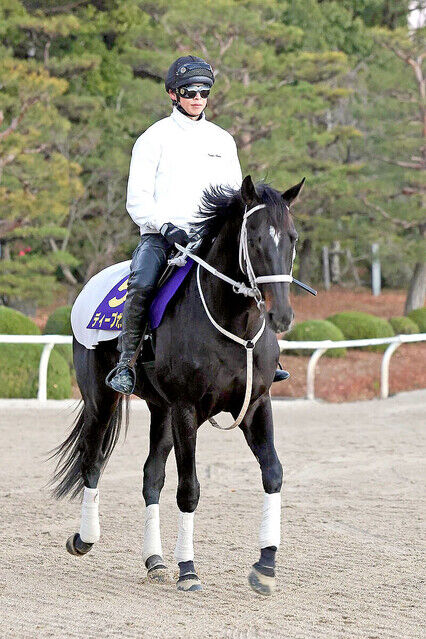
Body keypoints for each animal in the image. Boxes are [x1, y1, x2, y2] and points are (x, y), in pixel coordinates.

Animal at [50, 174, 306, 596]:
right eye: (253, 239)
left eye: (292, 237)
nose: (280, 314)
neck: (233, 327)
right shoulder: (187, 409)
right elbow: (189, 488)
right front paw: (188, 570)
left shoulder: (256, 405)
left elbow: (273, 472)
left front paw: (266, 565)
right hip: (102, 398)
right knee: (92, 461)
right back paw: (85, 538)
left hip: (161, 411)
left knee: (151, 476)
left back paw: (154, 561)